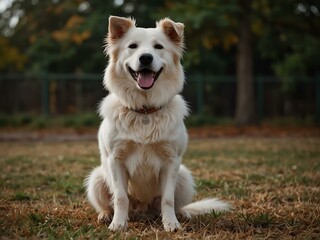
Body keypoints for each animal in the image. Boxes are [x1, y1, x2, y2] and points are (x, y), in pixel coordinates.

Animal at [85, 15, 230, 232]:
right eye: (133, 46)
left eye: (158, 47)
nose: (145, 58)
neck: (145, 110)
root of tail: (143, 213)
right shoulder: (115, 160)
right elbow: (120, 198)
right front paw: (118, 224)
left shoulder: (171, 161)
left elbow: (168, 200)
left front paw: (171, 224)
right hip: (97, 177)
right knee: (109, 203)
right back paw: (106, 215)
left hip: (184, 177)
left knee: (173, 204)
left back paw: (182, 214)